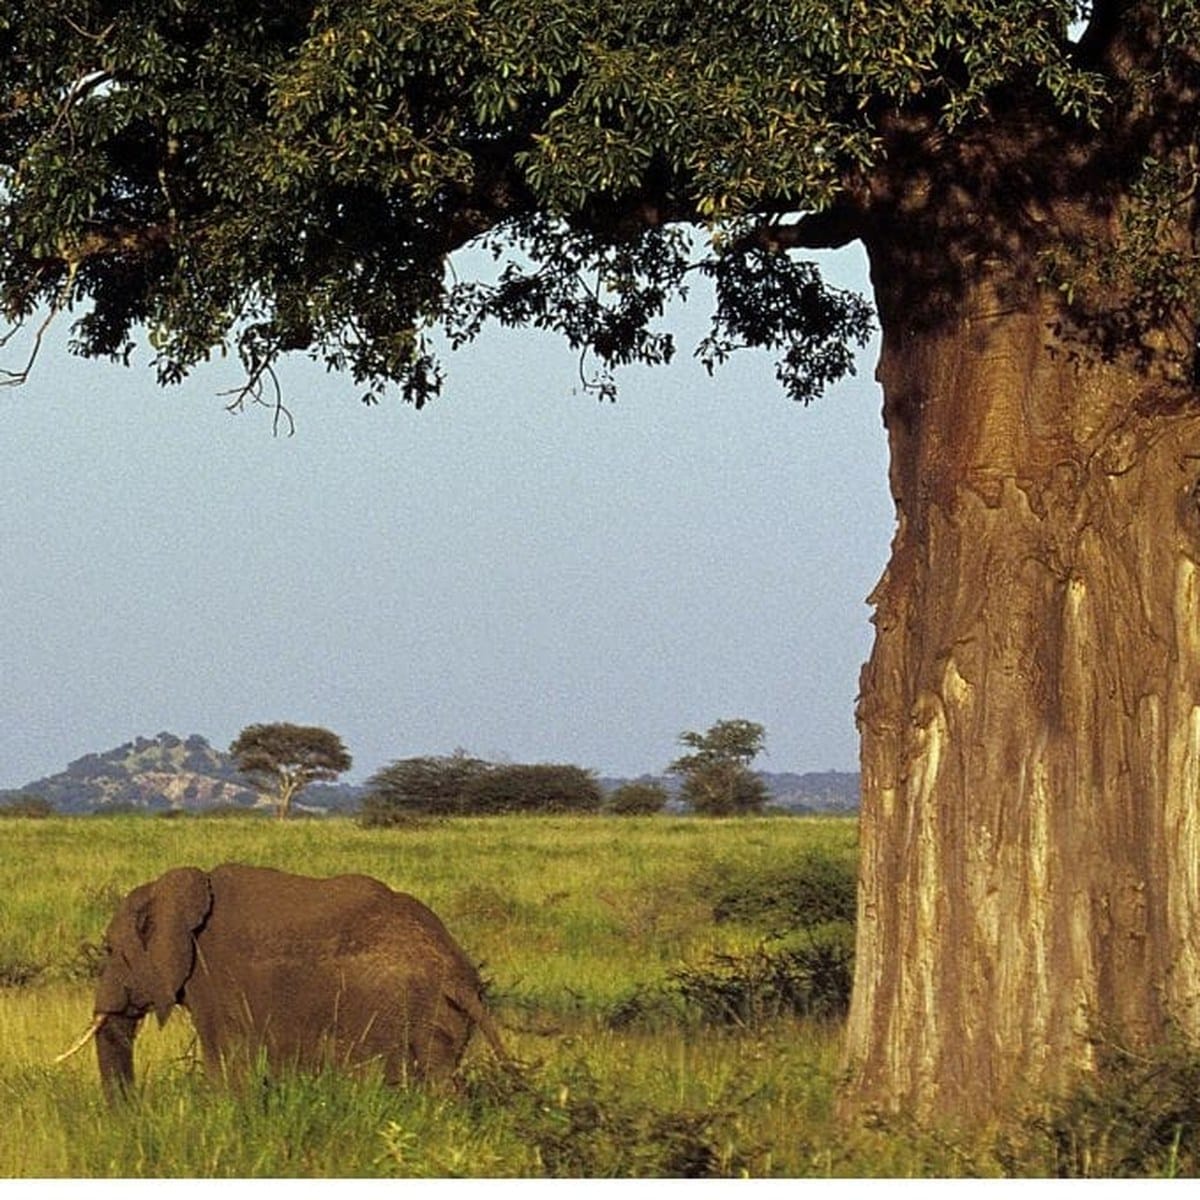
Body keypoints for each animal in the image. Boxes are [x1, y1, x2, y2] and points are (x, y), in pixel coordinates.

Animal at [64, 863, 505, 1099]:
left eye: (108, 949)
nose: (132, 1115)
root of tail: (458, 975)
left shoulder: (213, 977)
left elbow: (227, 1064)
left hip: (385, 1011)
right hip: (438, 1016)